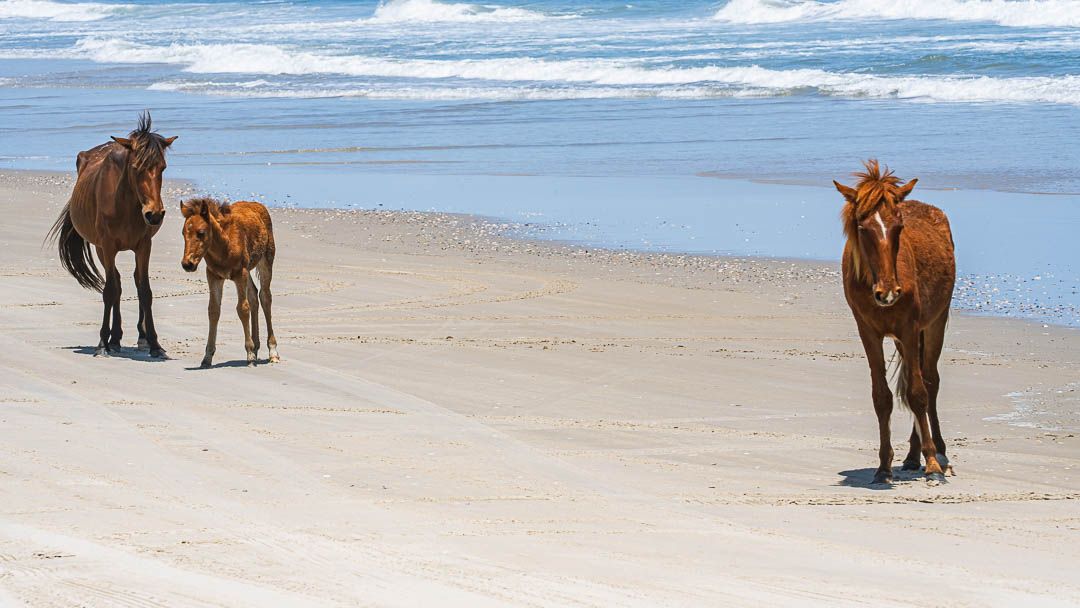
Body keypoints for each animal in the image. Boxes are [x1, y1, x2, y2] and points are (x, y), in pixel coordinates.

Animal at [47, 112, 177, 358]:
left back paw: (140, 337)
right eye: (135, 168)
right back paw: (114, 339)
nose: (154, 214)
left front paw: (155, 344)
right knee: (115, 284)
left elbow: (145, 291)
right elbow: (110, 290)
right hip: (100, 249)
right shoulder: (107, 246)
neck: (124, 203)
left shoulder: (144, 245)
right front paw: (102, 344)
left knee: (133, 280)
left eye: (163, 168)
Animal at [180, 197, 279, 368]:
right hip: (248, 270)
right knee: (254, 296)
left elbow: (243, 309)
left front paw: (250, 354)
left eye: (201, 233)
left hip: (266, 260)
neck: (224, 246)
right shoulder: (214, 276)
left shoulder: (240, 273)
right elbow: (213, 310)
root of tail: (258, 205)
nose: (188, 264)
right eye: (183, 233)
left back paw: (272, 351)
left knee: (265, 297)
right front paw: (207, 357)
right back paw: (256, 346)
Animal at [834, 160, 956, 485]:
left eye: (899, 227)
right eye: (862, 228)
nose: (888, 293)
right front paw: (883, 467)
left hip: (934, 323)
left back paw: (939, 454)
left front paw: (933, 465)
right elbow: (882, 397)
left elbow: (918, 393)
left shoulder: (909, 329)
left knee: (930, 380)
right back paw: (912, 457)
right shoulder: (868, 332)